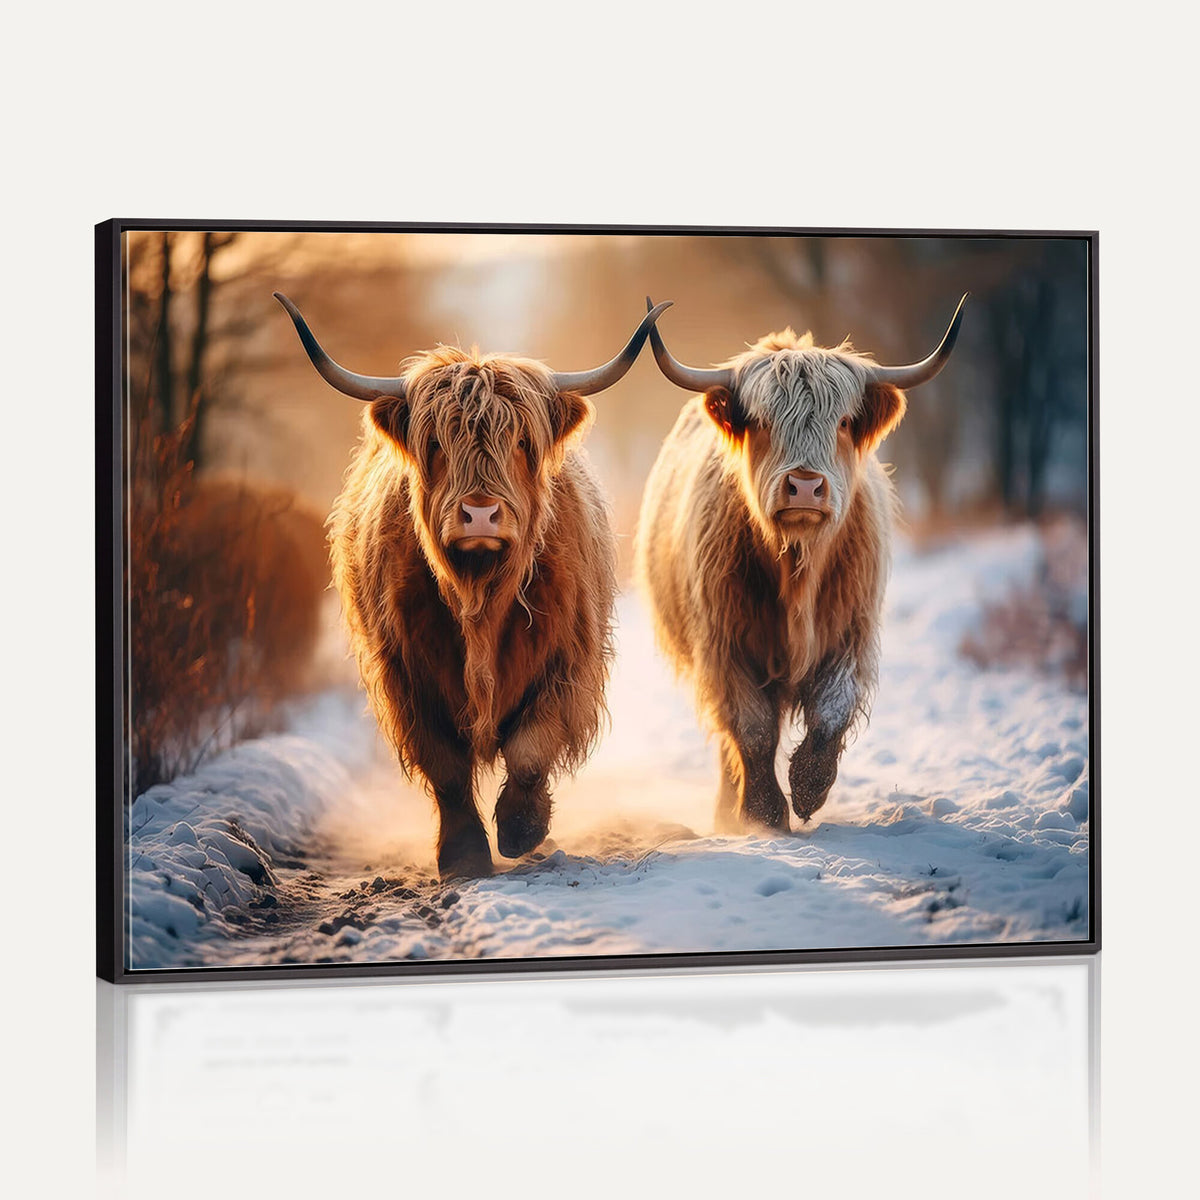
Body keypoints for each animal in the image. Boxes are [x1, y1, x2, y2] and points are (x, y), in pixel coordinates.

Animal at [276, 293, 672, 878]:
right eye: (437, 442)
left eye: (522, 441)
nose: (480, 514)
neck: (480, 594)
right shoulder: (407, 674)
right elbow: (444, 765)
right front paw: (463, 855)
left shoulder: (566, 660)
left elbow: (530, 748)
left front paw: (521, 829)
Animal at [635, 295, 966, 834]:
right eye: (762, 422)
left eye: (844, 422)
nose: (806, 486)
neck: (798, 565)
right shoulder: (725, 643)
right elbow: (751, 729)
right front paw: (764, 813)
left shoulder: (850, 630)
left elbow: (832, 711)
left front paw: (809, 788)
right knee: (730, 740)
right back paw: (728, 812)